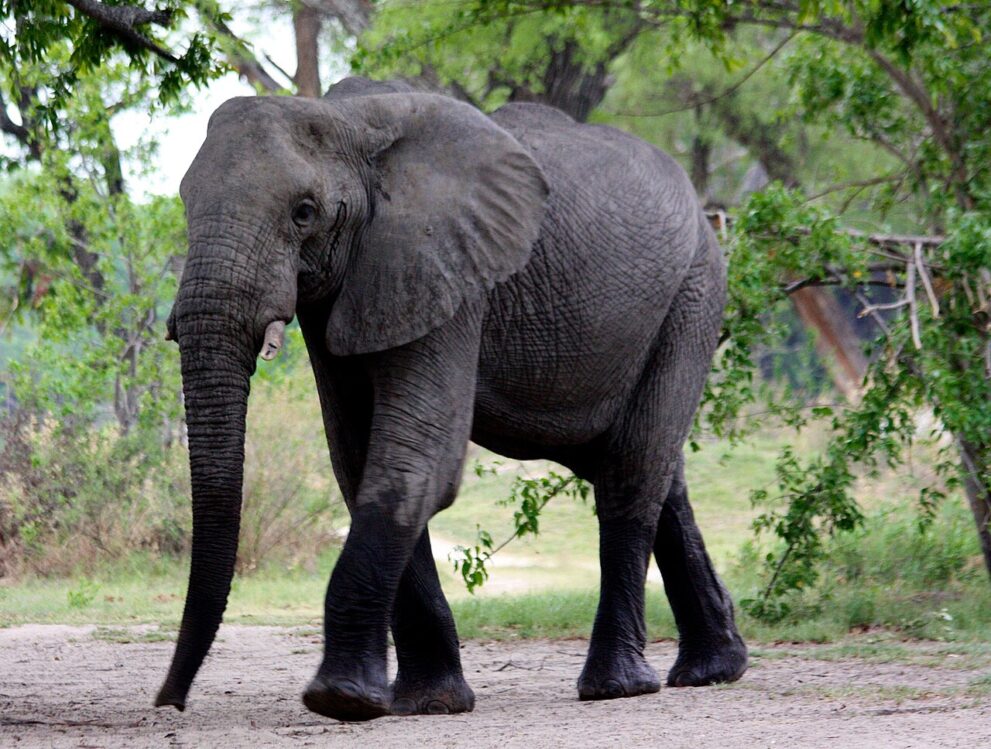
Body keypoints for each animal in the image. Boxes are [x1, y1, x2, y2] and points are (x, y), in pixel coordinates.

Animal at [155, 76, 747, 722]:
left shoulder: (448, 271)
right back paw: (714, 670)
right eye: (184, 204)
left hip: (693, 293)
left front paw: (340, 700)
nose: (170, 702)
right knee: (652, 469)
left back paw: (617, 686)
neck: (347, 123)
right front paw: (427, 703)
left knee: (632, 470)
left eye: (304, 213)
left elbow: (417, 458)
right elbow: (359, 460)